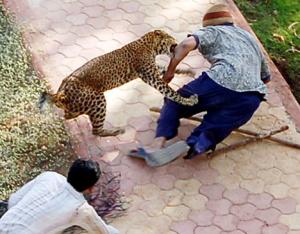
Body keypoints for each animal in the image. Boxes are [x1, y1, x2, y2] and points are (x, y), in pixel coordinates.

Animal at [40, 29, 199, 136]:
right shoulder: (150, 76)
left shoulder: (152, 70)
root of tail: (60, 93)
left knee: (68, 115)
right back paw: (116, 131)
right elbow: (170, 91)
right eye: (170, 37)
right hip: (97, 99)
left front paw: (187, 71)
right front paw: (189, 101)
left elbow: (165, 68)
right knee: (96, 131)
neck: (150, 46)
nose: (177, 42)